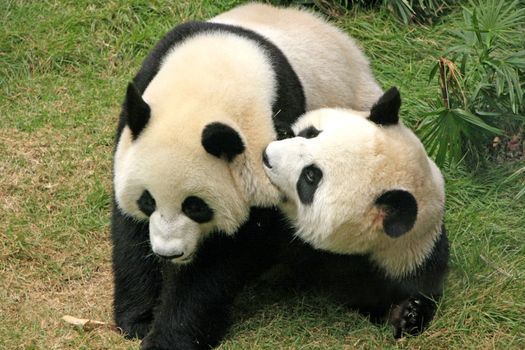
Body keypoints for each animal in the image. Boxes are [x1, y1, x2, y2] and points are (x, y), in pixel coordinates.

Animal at [111, 3, 380, 350]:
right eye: (147, 201)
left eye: (195, 206)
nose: (169, 253)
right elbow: (129, 232)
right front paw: (139, 318)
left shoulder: (276, 140)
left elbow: (228, 256)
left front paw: (170, 336)